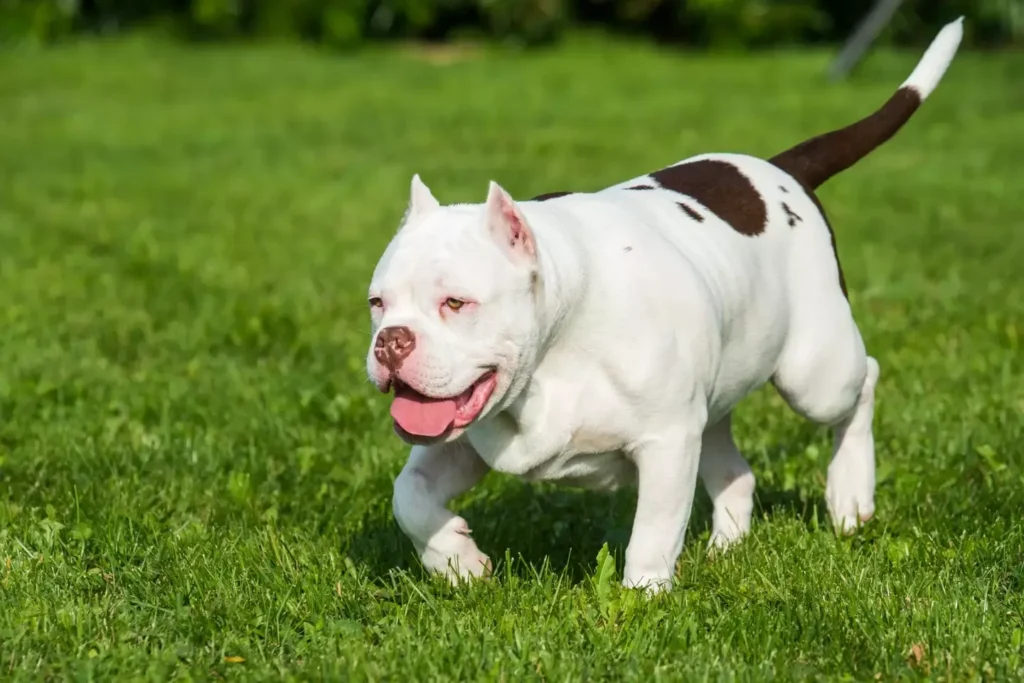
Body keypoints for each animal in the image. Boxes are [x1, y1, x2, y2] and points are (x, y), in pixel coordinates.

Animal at [364, 17, 962, 593]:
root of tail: (783, 169)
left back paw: (850, 497)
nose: (392, 341)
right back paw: (726, 548)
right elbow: (409, 496)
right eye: (377, 303)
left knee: (863, 383)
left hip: (814, 375)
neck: (558, 335)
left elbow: (653, 530)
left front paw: (642, 598)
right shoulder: (460, 441)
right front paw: (455, 561)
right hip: (719, 396)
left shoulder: (666, 442)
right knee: (736, 470)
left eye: (456, 302)